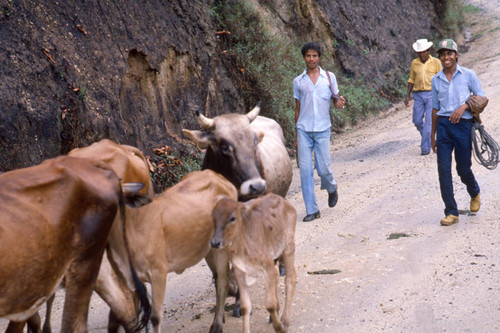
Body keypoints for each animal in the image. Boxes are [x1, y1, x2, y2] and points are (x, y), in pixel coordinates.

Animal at [211, 193, 296, 330]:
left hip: (288, 247)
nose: (215, 242)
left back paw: (284, 320)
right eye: (212, 215)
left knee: (290, 279)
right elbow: (245, 307)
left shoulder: (267, 267)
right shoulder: (240, 273)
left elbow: (269, 304)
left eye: (232, 218)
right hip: (274, 256)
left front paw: (279, 327)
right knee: (277, 276)